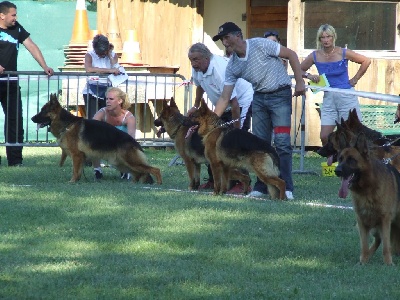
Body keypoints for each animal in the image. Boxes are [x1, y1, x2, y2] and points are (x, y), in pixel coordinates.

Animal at [31, 94, 162, 184]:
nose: (32, 118)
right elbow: (78, 171)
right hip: (122, 163)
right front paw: (77, 181)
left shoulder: (76, 155)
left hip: (130, 161)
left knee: (155, 169)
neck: (67, 124)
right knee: (139, 173)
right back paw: (133, 183)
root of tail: (134, 142)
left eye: (43, 111)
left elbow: (75, 171)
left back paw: (158, 184)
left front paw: (72, 182)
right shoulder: (80, 157)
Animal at [334, 132, 400, 264]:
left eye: (351, 160)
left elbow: (386, 245)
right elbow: (364, 244)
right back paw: (369, 255)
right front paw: (363, 262)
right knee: (378, 240)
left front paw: (388, 263)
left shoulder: (385, 220)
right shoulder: (362, 221)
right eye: (340, 159)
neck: (367, 189)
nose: (337, 171)